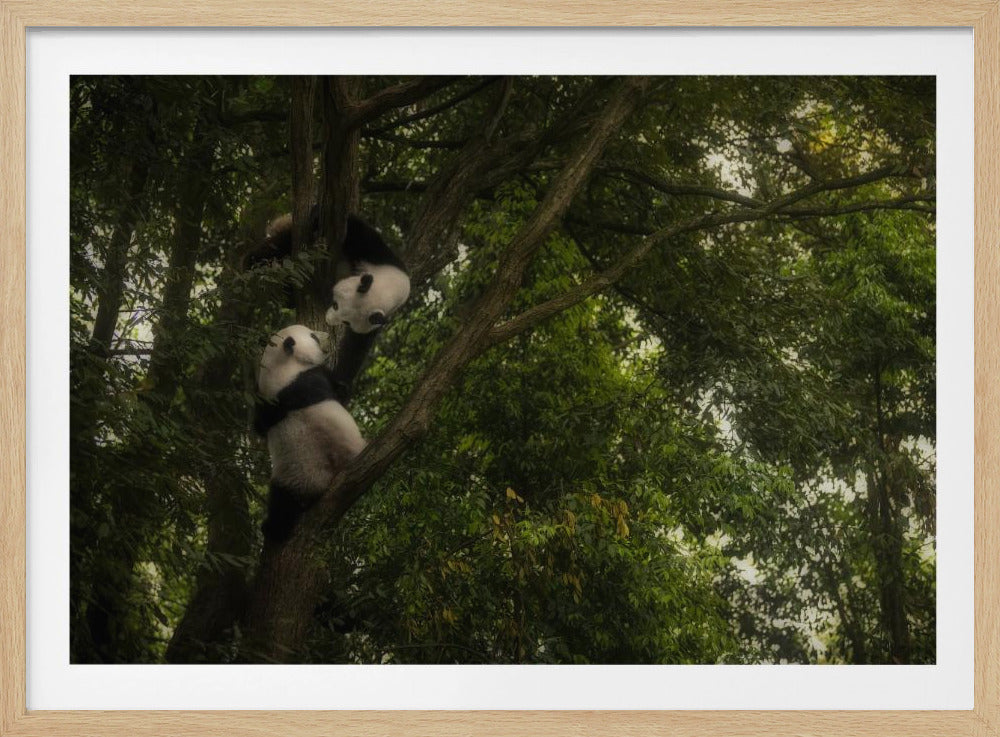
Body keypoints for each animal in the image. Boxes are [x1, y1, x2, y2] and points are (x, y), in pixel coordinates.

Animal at [254, 324, 366, 543]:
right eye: (313, 336)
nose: (328, 336)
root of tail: (319, 485)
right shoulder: (311, 379)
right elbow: (339, 391)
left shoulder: (266, 403)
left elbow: (259, 425)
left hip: (289, 476)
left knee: (281, 502)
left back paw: (272, 529)